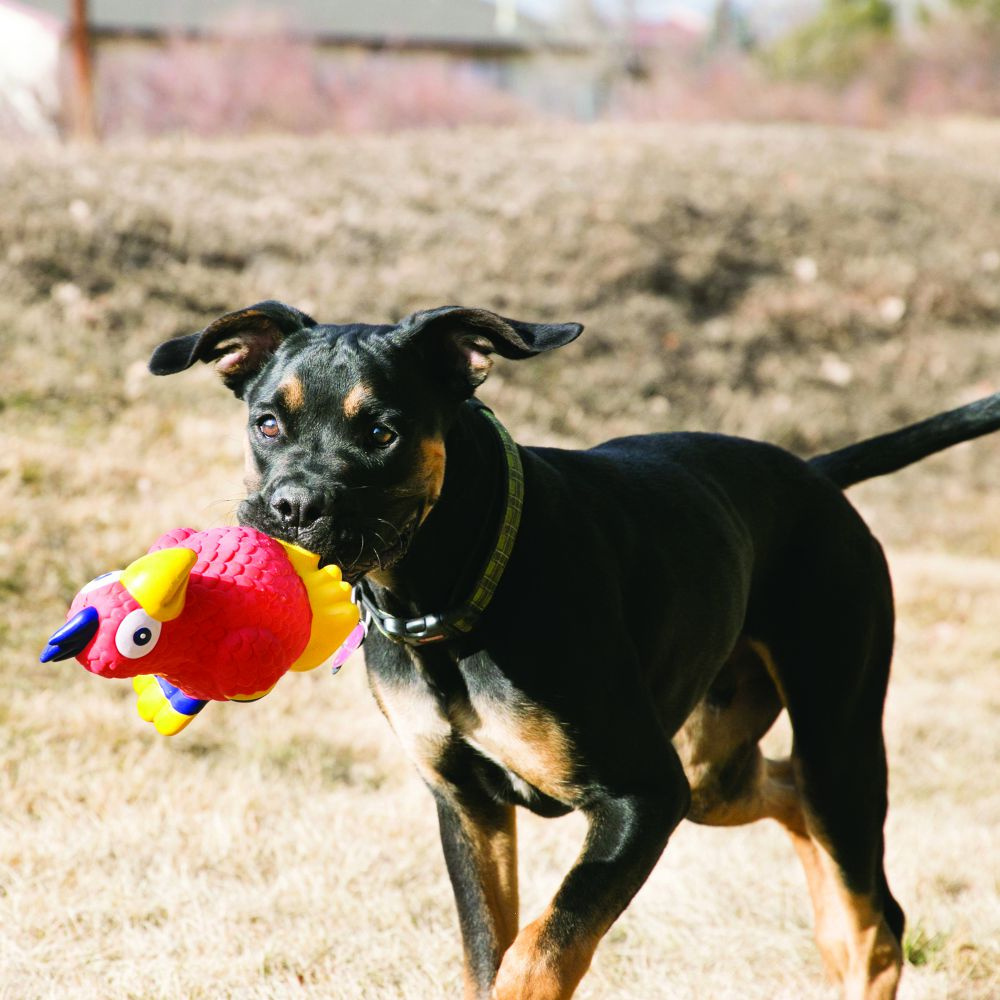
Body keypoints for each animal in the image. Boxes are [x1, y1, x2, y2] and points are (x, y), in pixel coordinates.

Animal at [150, 302, 1000, 1000]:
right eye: (267, 422)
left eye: (382, 430)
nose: (292, 506)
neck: (453, 594)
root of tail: (817, 473)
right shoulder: (468, 806)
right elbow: (485, 953)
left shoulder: (642, 796)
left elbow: (539, 951)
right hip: (711, 768)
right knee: (787, 798)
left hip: (833, 740)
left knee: (874, 924)